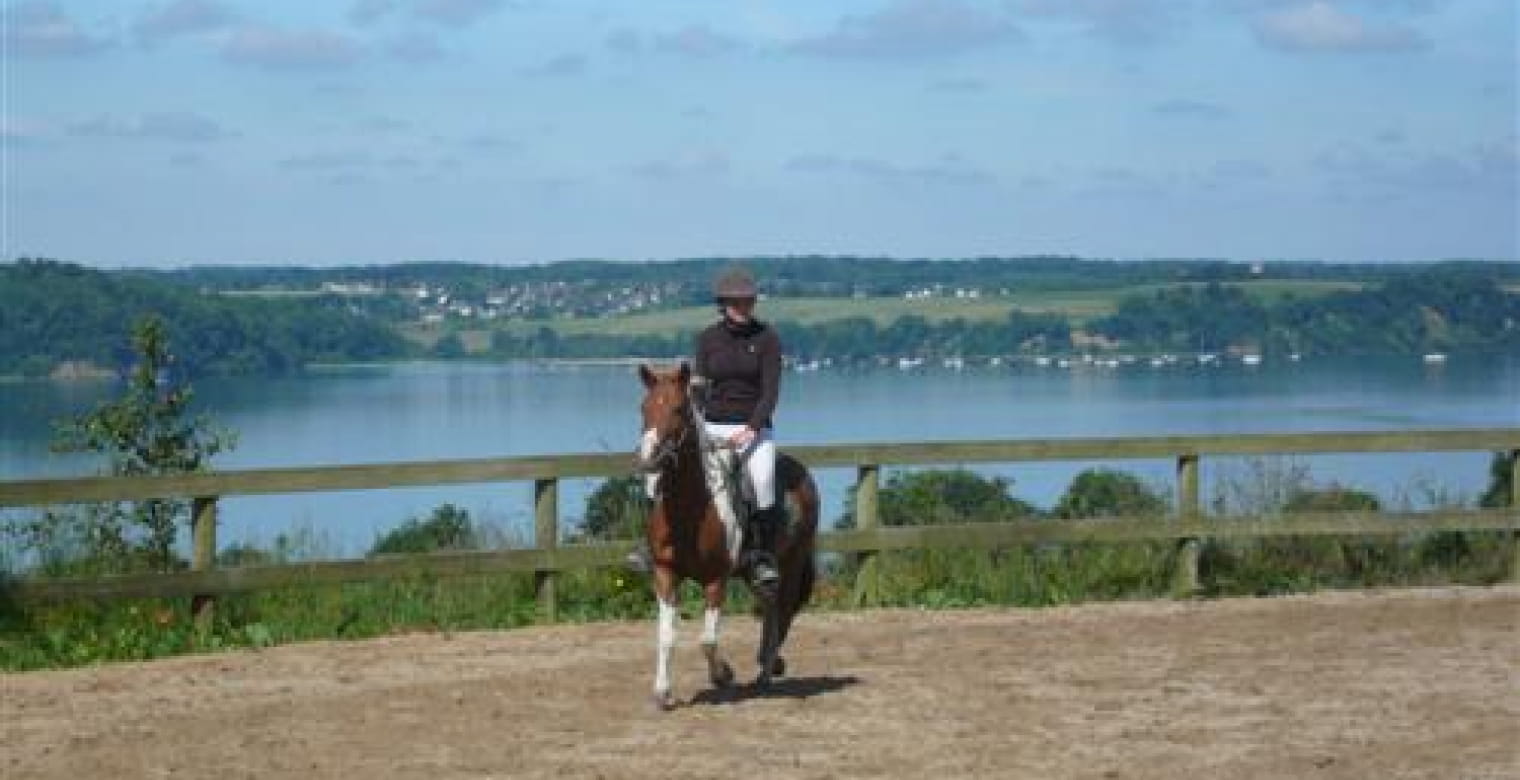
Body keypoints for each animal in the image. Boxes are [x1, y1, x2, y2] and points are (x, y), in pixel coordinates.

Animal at [629, 361, 820, 708]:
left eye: (679, 409)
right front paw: (662, 692)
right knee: (771, 608)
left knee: (783, 609)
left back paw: (768, 670)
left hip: (792, 563)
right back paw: (765, 668)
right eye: (644, 408)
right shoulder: (665, 573)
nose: (650, 458)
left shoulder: (716, 579)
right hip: (752, 574)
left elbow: (707, 640)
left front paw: (723, 675)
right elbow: (666, 636)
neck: (691, 508)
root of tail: (803, 475)